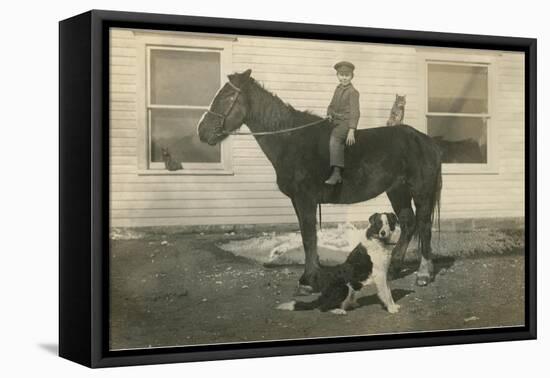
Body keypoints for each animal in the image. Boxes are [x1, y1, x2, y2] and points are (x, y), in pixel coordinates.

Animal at [198, 69, 444, 290]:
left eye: (228, 96)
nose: (202, 131)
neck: (290, 139)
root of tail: (426, 141)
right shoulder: (298, 201)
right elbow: (308, 236)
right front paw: (312, 273)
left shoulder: (305, 198)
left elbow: (308, 237)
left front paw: (309, 279)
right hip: (397, 191)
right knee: (408, 223)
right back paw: (393, 269)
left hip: (420, 192)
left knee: (424, 225)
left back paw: (424, 273)